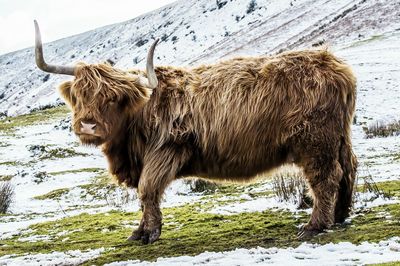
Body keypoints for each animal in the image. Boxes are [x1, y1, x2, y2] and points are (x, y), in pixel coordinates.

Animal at [34, 20, 356, 244]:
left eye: (112, 98)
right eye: (79, 95)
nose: (88, 125)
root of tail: (335, 66)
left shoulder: (166, 149)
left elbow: (148, 189)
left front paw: (149, 233)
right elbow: (143, 195)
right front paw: (138, 231)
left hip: (316, 141)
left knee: (326, 177)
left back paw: (315, 225)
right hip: (339, 137)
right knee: (348, 168)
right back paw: (341, 214)